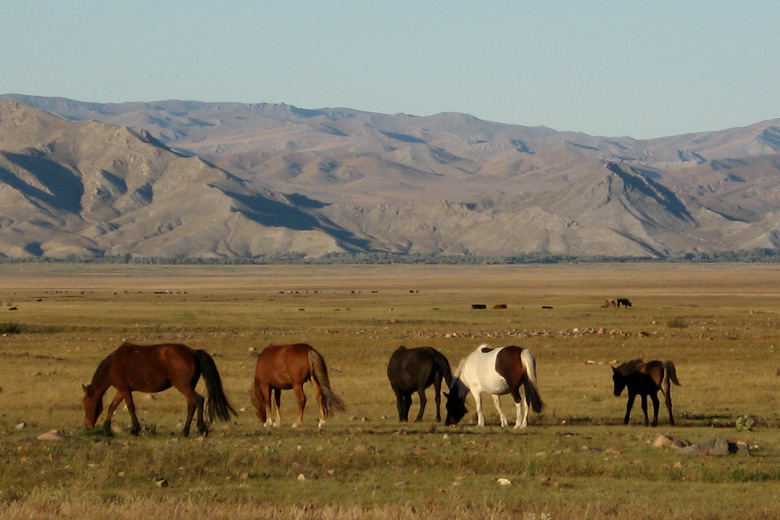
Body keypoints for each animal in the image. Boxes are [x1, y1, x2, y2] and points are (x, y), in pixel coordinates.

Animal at [81, 342, 238, 434]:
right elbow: (112, 406)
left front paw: (135, 429)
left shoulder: (124, 389)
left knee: (198, 399)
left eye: (85, 403)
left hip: (183, 385)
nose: (87, 425)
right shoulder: (121, 390)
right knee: (191, 404)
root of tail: (193, 352)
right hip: (188, 386)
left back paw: (199, 428)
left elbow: (130, 407)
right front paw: (106, 426)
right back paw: (187, 431)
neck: (112, 365)